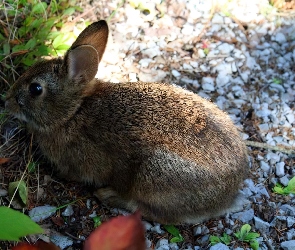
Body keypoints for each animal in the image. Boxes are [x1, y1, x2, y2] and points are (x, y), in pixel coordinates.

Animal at [5, 20, 250, 225]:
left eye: (35, 89)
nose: (7, 101)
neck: (73, 111)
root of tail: (226, 195)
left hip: (153, 176)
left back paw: (109, 195)